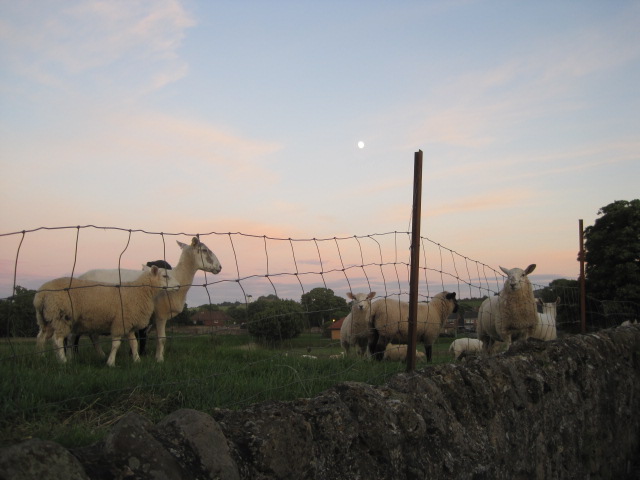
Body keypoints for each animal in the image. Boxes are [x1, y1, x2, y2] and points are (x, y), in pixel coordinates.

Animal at [34, 266, 179, 367]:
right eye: (165, 275)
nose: (178, 286)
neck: (139, 291)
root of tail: (41, 295)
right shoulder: (120, 322)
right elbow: (116, 344)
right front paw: (111, 362)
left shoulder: (129, 323)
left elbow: (133, 343)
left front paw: (137, 360)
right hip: (60, 316)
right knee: (57, 340)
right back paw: (63, 361)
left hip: (46, 318)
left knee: (41, 337)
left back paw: (42, 357)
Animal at [74, 237, 221, 362]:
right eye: (204, 250)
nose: (220, 267)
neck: (179, 277)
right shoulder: (160, 314)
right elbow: (161, 338)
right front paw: (160, 360)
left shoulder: (151, 318)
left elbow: (148, 338)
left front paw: (152, 355)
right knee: (76, 336)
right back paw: (74, 357)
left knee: (93, 336)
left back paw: (101, 355)